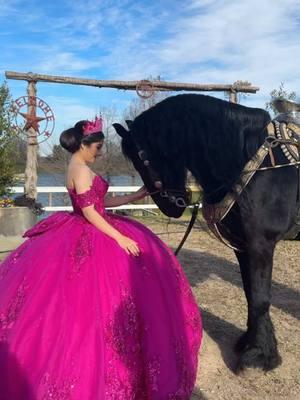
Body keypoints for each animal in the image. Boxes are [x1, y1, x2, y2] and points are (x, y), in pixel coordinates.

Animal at [113, 94, 300, 372]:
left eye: (143, 159)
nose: (170, 206)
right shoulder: (243, 246)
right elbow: (250, 293)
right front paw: (251, 343)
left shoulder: (261, 244)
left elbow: (260, 298)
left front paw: (258, 355)